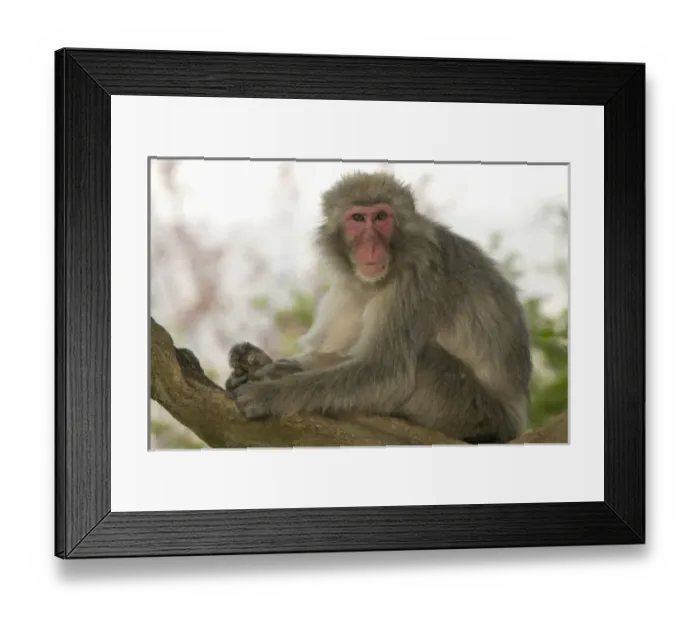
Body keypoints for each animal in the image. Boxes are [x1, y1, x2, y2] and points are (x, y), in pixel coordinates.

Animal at [227, 170, 533, 444]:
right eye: (358, 218)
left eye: (382, 217)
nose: (371, 246)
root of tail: (516, 423)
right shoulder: (350, 286)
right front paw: (261, 362)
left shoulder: (417, 280)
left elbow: (387, 373)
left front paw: (269, 393)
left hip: (473, 410)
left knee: (426, 359)